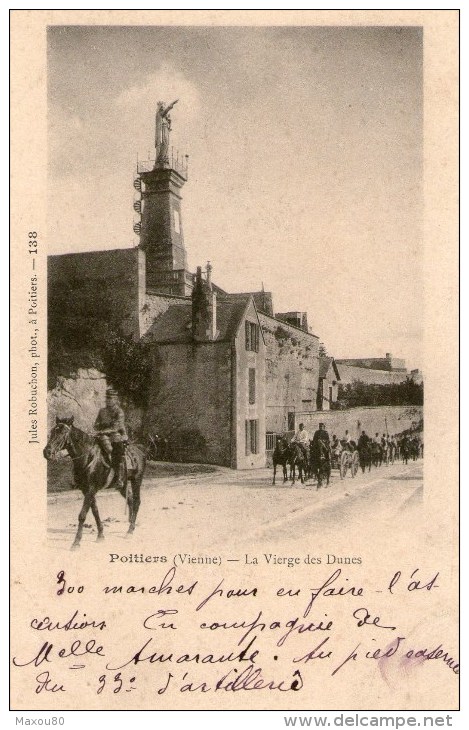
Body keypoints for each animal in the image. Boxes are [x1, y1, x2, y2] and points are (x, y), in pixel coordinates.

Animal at [44, 416, 146, 544]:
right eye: (52, 431)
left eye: (62, 433)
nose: (47, 452)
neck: (88, 457)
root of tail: (140, 451)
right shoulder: (86, 490)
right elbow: (95, 511)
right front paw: (100, 535)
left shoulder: (91, 489)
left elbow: (82, 514)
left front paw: (76, 542)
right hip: (122, 485)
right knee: (131, 500)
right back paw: (130, 522)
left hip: (136, 481)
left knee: (137, 502)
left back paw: (130, 530)